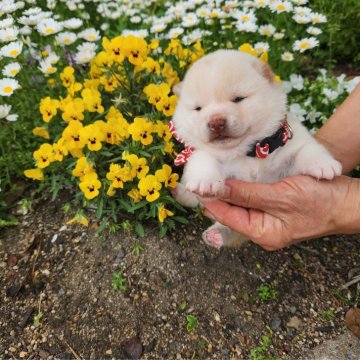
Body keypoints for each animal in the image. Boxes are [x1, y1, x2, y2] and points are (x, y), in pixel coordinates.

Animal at [170, 49, 342, 249]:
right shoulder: (202, 155)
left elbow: (307, 150)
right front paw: (204, 183)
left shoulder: (290, 145)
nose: (216, 122)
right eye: (198, 108)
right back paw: (181, 195)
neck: (249, 151)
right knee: (196, 203)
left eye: (238, 99)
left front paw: (325, 165)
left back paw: (216, 234)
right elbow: (204, 161)